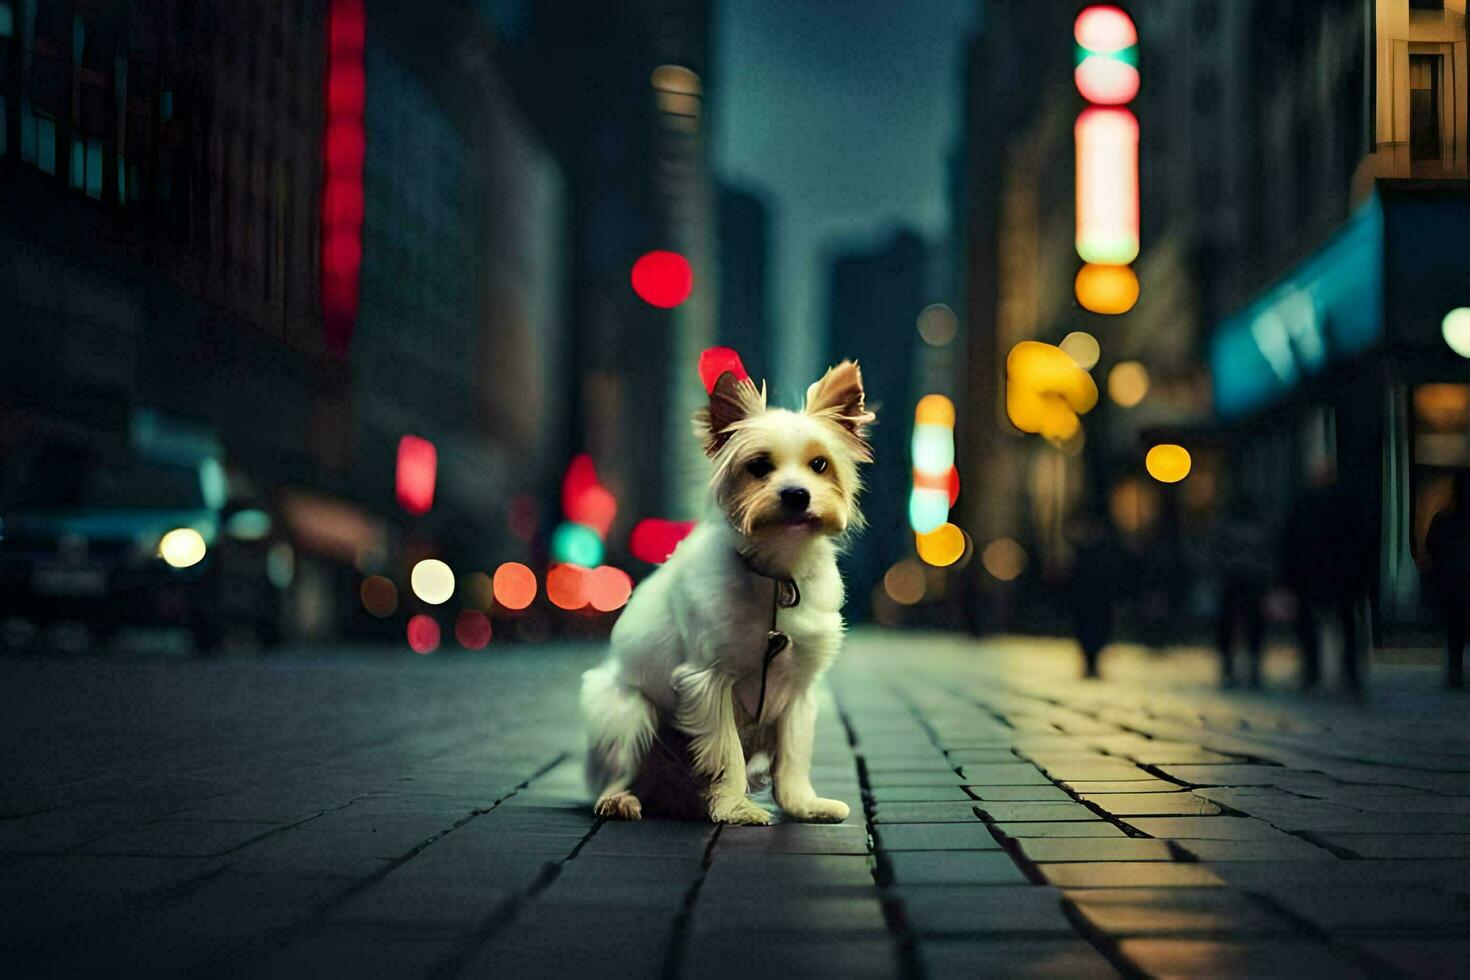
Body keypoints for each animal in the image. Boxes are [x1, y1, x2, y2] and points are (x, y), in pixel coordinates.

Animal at [576, 359, 870, 822]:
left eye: (820, 465)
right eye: (759, 466)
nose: (796, 495)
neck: (777, 577)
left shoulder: (800, 690)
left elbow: (794, 756)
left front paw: (802, 805)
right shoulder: (709, 681)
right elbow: (727, 753)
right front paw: (735, 809)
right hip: (624, 711)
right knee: (619, 771)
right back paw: (619, 799)